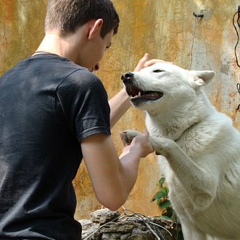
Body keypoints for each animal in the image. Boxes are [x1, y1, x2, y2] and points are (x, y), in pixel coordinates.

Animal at [121, 62, 240, 240]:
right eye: (140, 70)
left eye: (158, 70)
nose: (126, 76)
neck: (187, 130)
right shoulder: (189, 225)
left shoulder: (206, 189)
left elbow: (170, 144)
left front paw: (144, 139)